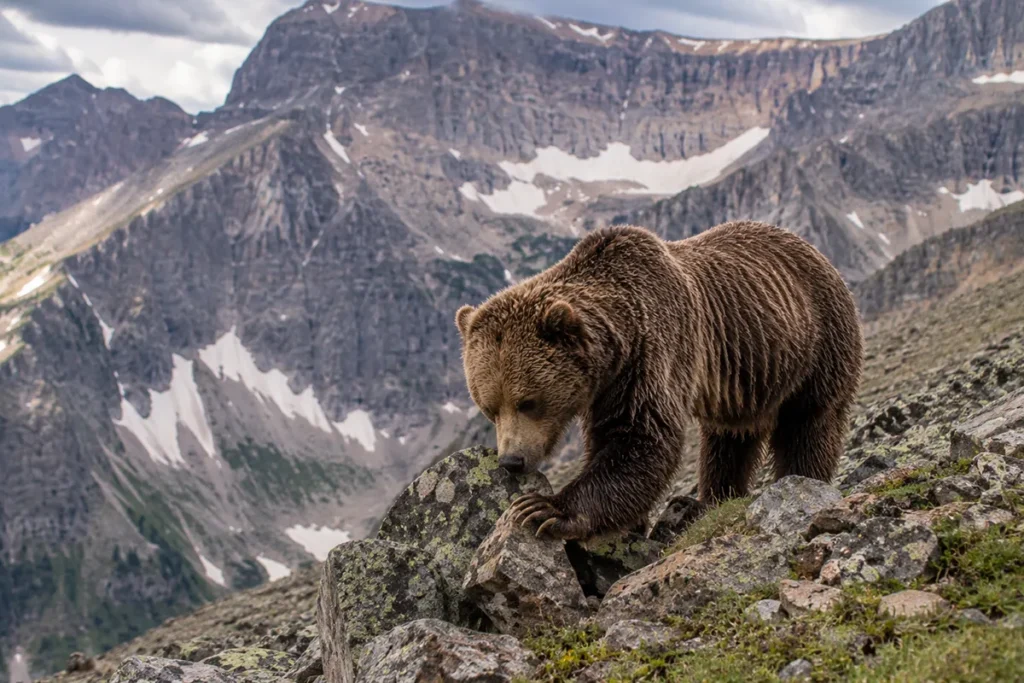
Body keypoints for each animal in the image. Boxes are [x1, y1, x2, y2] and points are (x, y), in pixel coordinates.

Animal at [455, 221, 864, 541]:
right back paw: (711, 499)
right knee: (727, 440)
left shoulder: (650, 352)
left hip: (817, 343)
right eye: (489, 408)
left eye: (528, 402)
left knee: (808, 424)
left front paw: (545, 509)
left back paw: (801, 480)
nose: (512, 460)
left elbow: (643, 437)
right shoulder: (607, 384)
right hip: (746, 380)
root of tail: (814, 250)